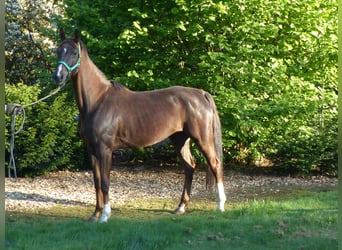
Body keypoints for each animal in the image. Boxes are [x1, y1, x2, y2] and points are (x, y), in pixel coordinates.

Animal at [52, 30, 226, 223]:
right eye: (58, 51)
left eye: (74, 52)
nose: (58, 77)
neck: (97, 101)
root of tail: (201, 94)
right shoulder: (91, 149)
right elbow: (96, 181)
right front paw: (95, 214)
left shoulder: (105, 149)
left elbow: (105, 182)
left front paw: (105, 216)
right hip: (180, 140)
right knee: (189, 168)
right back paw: (180, 207)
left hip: (202, 138)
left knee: (215, 164)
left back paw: (220, 205)